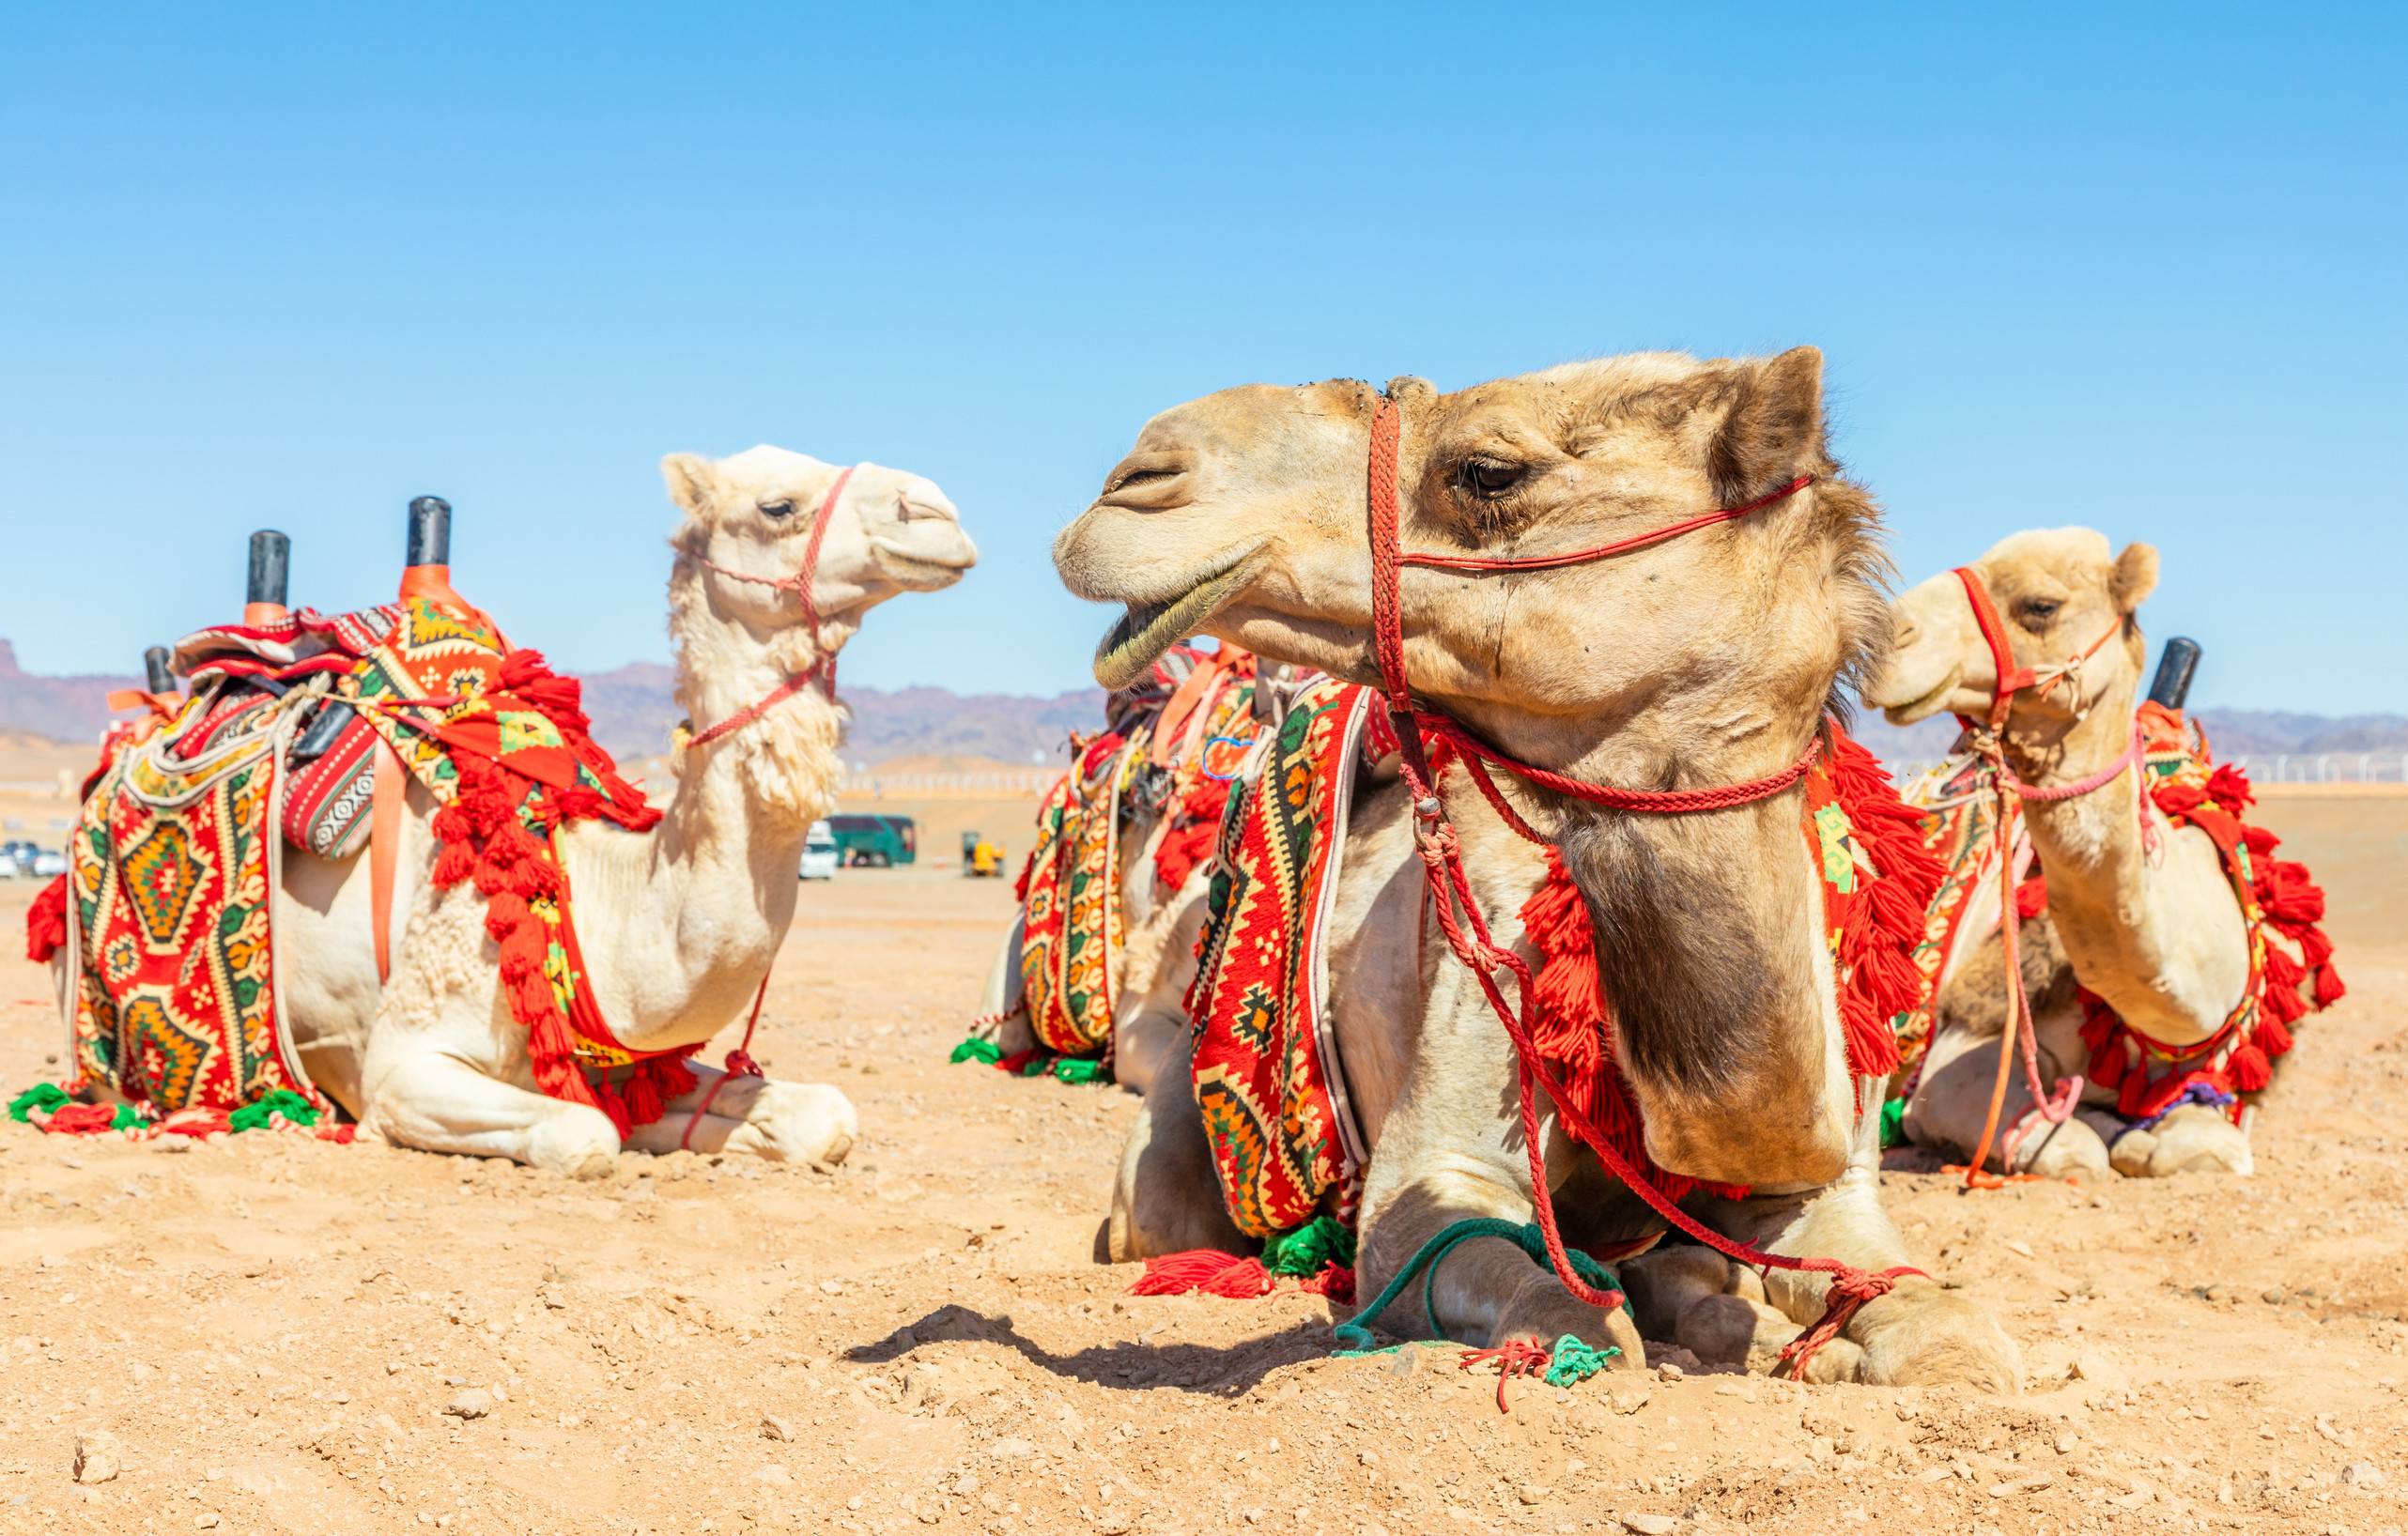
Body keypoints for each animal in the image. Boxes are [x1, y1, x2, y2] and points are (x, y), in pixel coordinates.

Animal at [62, 447, 976, 1175]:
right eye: (777, 505)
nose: (940, 510)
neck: (585, 892)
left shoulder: (635, 1059)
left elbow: (823, 1116)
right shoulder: (404, 1064)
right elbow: (585, 1134)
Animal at [1052, 349, 2018, 1388]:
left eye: (1487, 472)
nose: (1138, 476)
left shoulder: (1826, 1180)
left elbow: (1943, 1330)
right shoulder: (1434, 1169)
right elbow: (1552, 1302)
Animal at [1865, 530, 2260, 1180]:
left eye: (2041, 605)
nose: (1883, 638)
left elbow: (2207, 1146)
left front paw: (2143, 1138)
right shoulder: (1950, 1065)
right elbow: (2075, 1152)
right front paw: (2107, 1134)